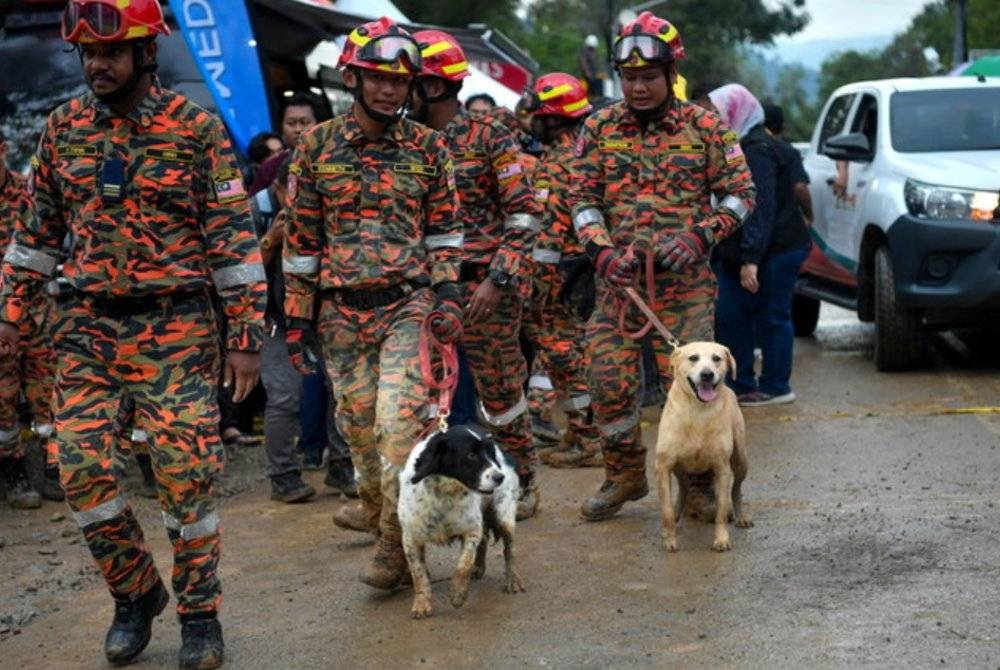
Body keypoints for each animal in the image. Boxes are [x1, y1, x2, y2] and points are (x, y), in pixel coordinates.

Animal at [396, 426, 528, 620]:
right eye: (471, 455)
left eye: (489, 453)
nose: (500, 477)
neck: (445, 493)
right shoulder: (410, 539)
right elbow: (419, 574)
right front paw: (421, 603)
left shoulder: (471, 530)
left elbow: (464, 563)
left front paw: (458, 593)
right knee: (485, 540)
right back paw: (479, 568)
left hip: (504, 516)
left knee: (508, 549)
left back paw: (512, 578)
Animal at [652, 344, 752, 552]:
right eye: (693, 358)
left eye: (717, 358)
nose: (707, 374)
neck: (697, 412)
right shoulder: (663, 467)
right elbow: (665, 509)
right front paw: (669, 539)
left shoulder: (722, 469)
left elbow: (721, 510)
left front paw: (721, 539)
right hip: (679, 468)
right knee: (683, 489)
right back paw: (676, 514)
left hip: (741, 461)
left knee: (736, 490)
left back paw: (741, 516)